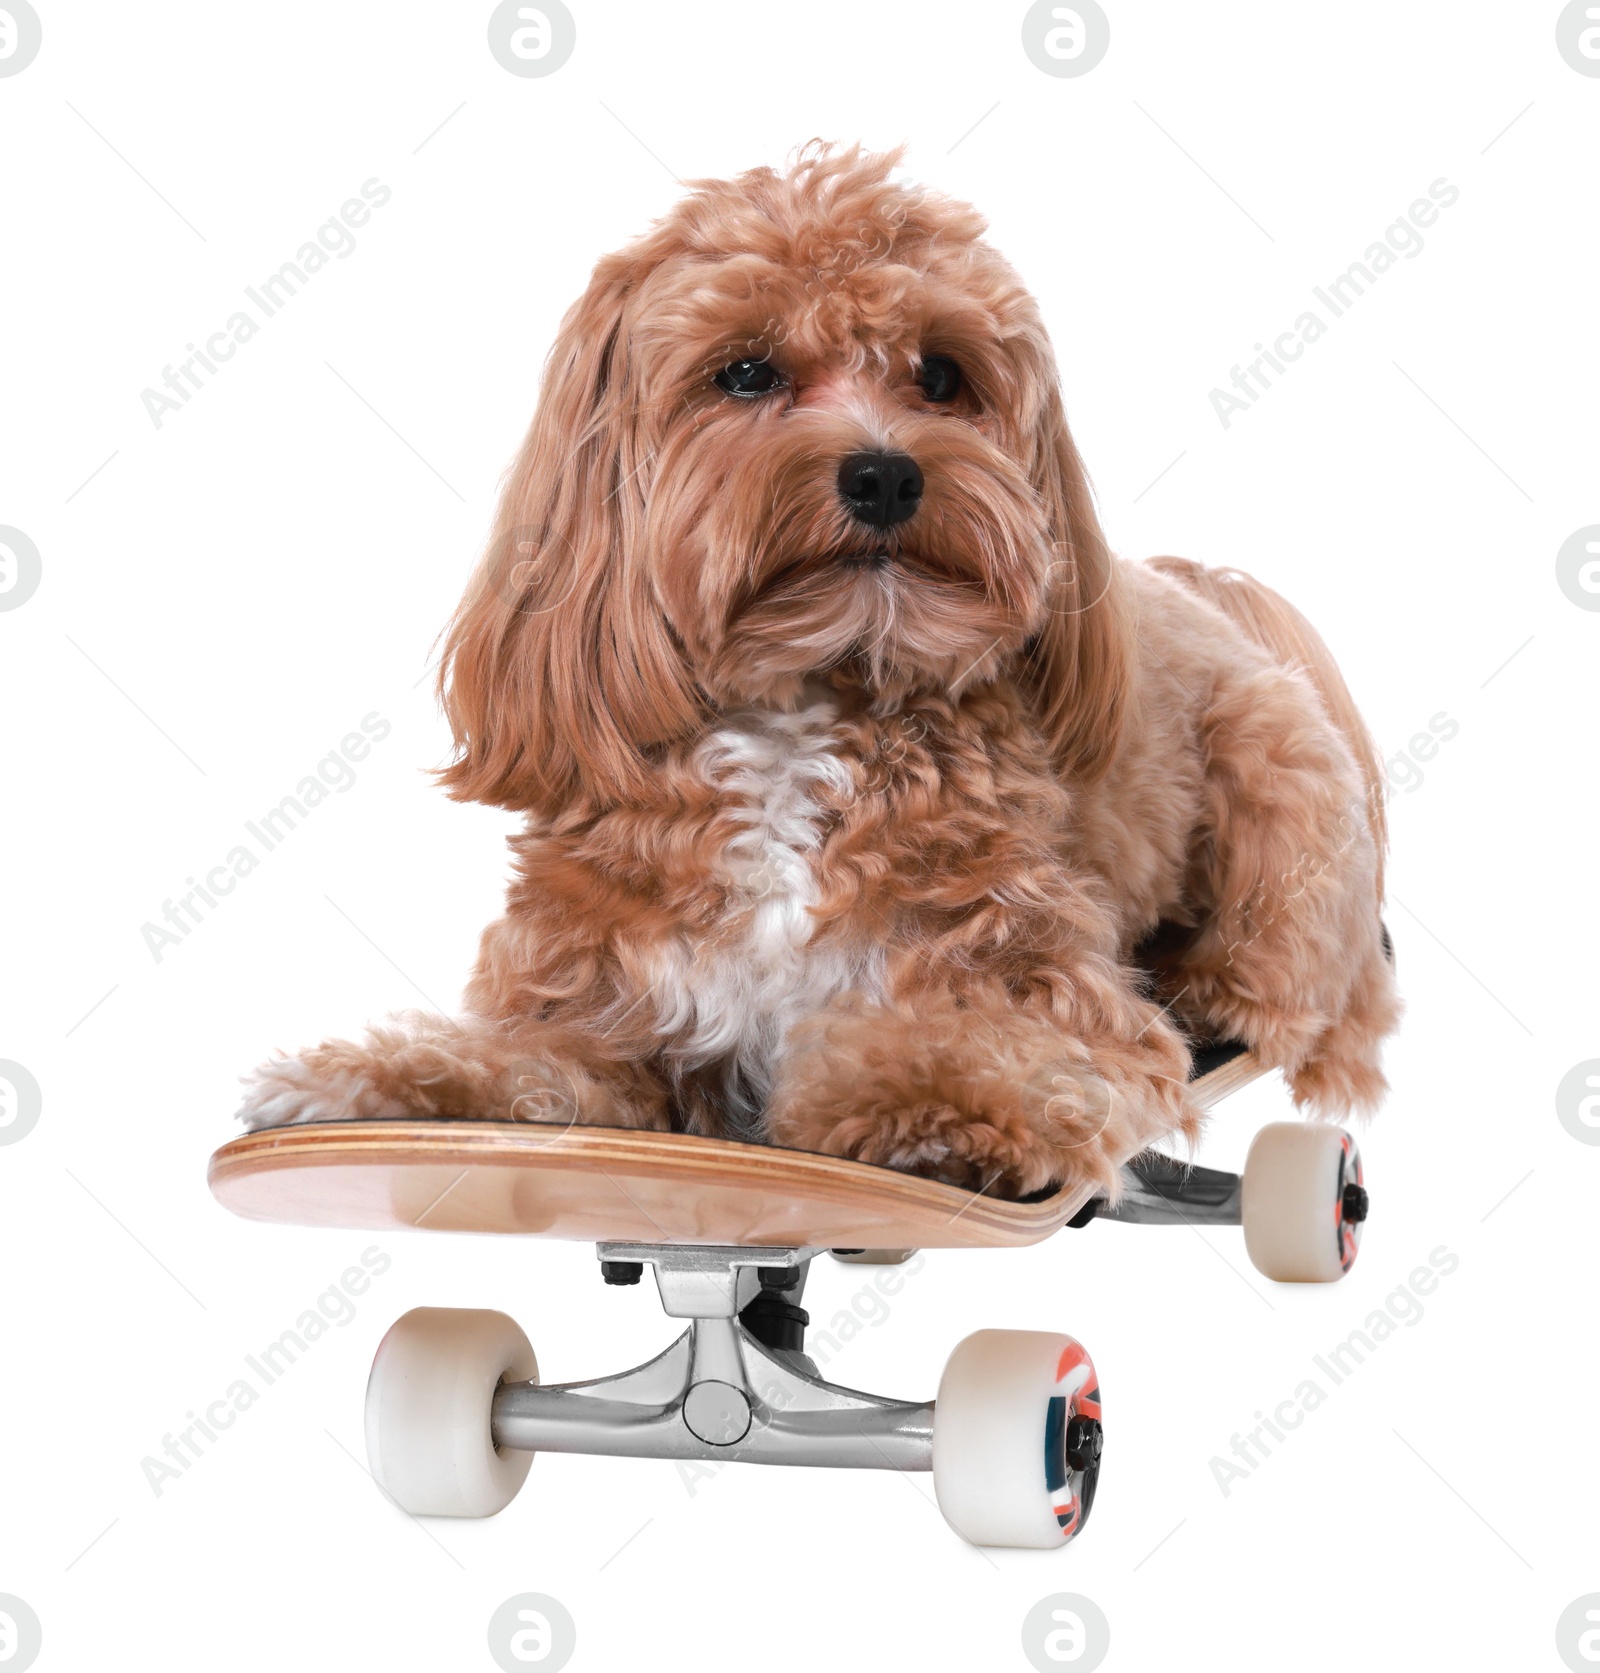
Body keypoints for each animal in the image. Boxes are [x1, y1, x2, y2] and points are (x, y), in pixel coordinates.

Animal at [230, 143, 1392, 1204]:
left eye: (942, 374)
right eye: (745, 371)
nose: (884, 473)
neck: (800, 709)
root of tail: (1211, 596)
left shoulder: (1048, 988)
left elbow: (1000, 1049)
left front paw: (936, 1112)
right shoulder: (610, 1015)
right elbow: (529, 1064)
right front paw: (370, 1079)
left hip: (1277, 774)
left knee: (1308, 992)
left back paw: (1216, 989)